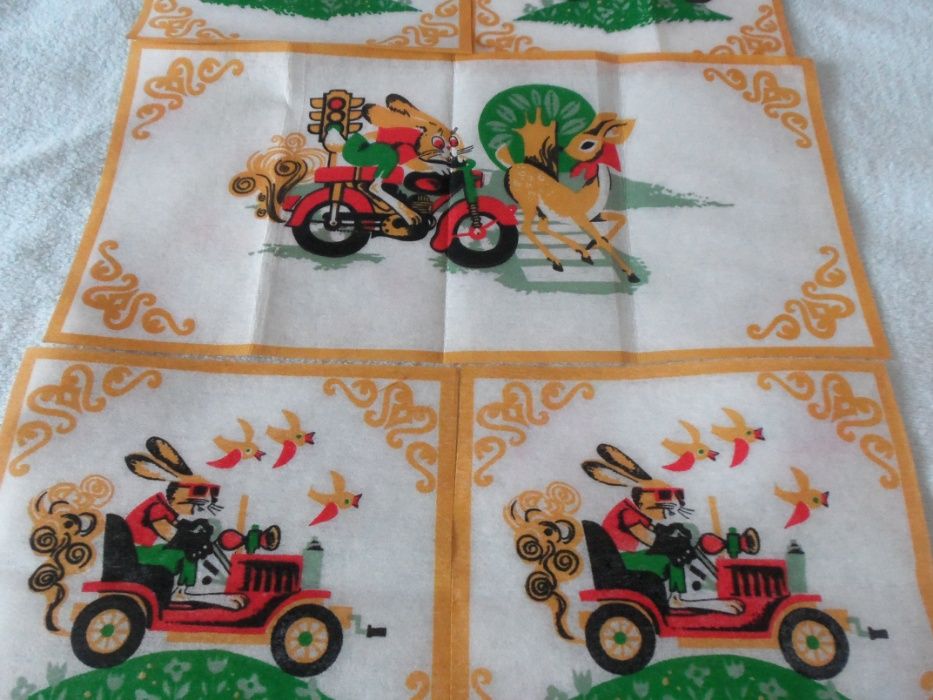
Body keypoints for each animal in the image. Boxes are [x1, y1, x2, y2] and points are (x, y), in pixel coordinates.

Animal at [497, 109, 638, 280]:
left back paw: (581, 252)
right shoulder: (581, 217)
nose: (563, 149)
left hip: (539, 210)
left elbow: (621, 219)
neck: (590, 195)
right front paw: (631, 273)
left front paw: (592, 245)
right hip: (528, 202)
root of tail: (512, 165)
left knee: (541, 226)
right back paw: (557, 261)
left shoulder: (594, 216)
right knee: (527, 228)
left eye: (587, 144)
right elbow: (603, 240)